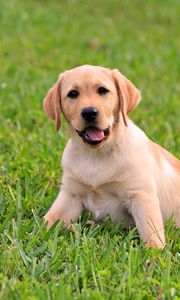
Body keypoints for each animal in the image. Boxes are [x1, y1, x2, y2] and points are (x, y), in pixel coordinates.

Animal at [43, 65, 179, 248]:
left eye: (103, 90)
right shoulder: (70, 195)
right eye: (72, 94)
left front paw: (155, 253)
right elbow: (47, 221)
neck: (96, 155)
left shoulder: (141, 196)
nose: (89, 113)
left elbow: (151, 232)